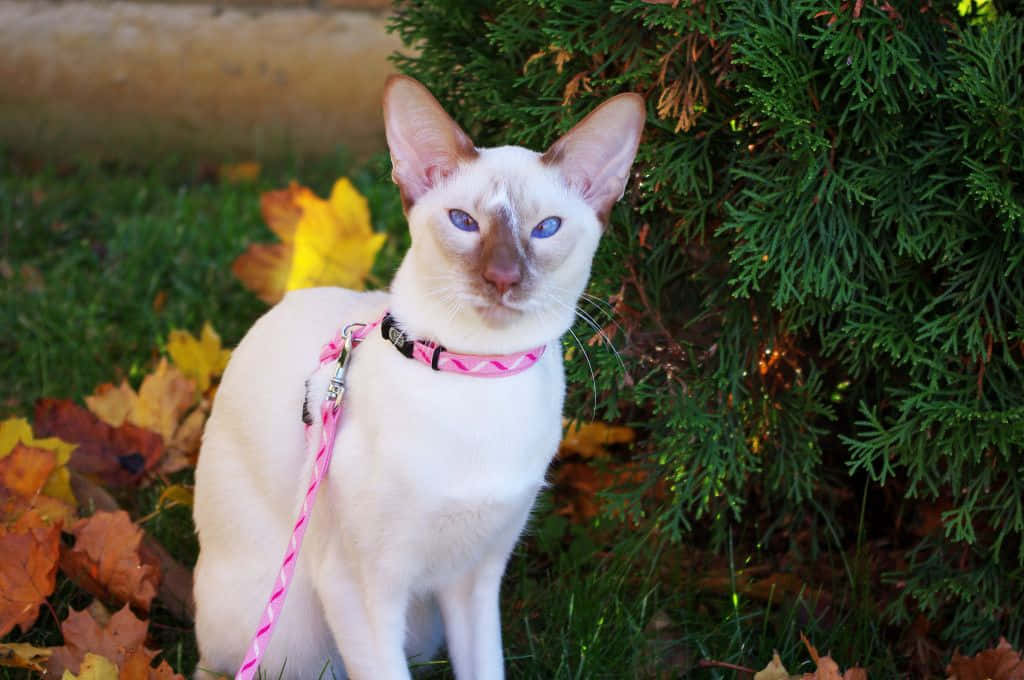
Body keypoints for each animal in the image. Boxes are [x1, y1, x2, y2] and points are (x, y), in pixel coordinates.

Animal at [191, 75, 638, 680]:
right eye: (464, 222)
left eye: (545, 229)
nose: (503, 277)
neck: (479, 376)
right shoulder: (362, 588)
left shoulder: (474, 580)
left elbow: (486, 667)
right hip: (294, 638)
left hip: (420, 630)